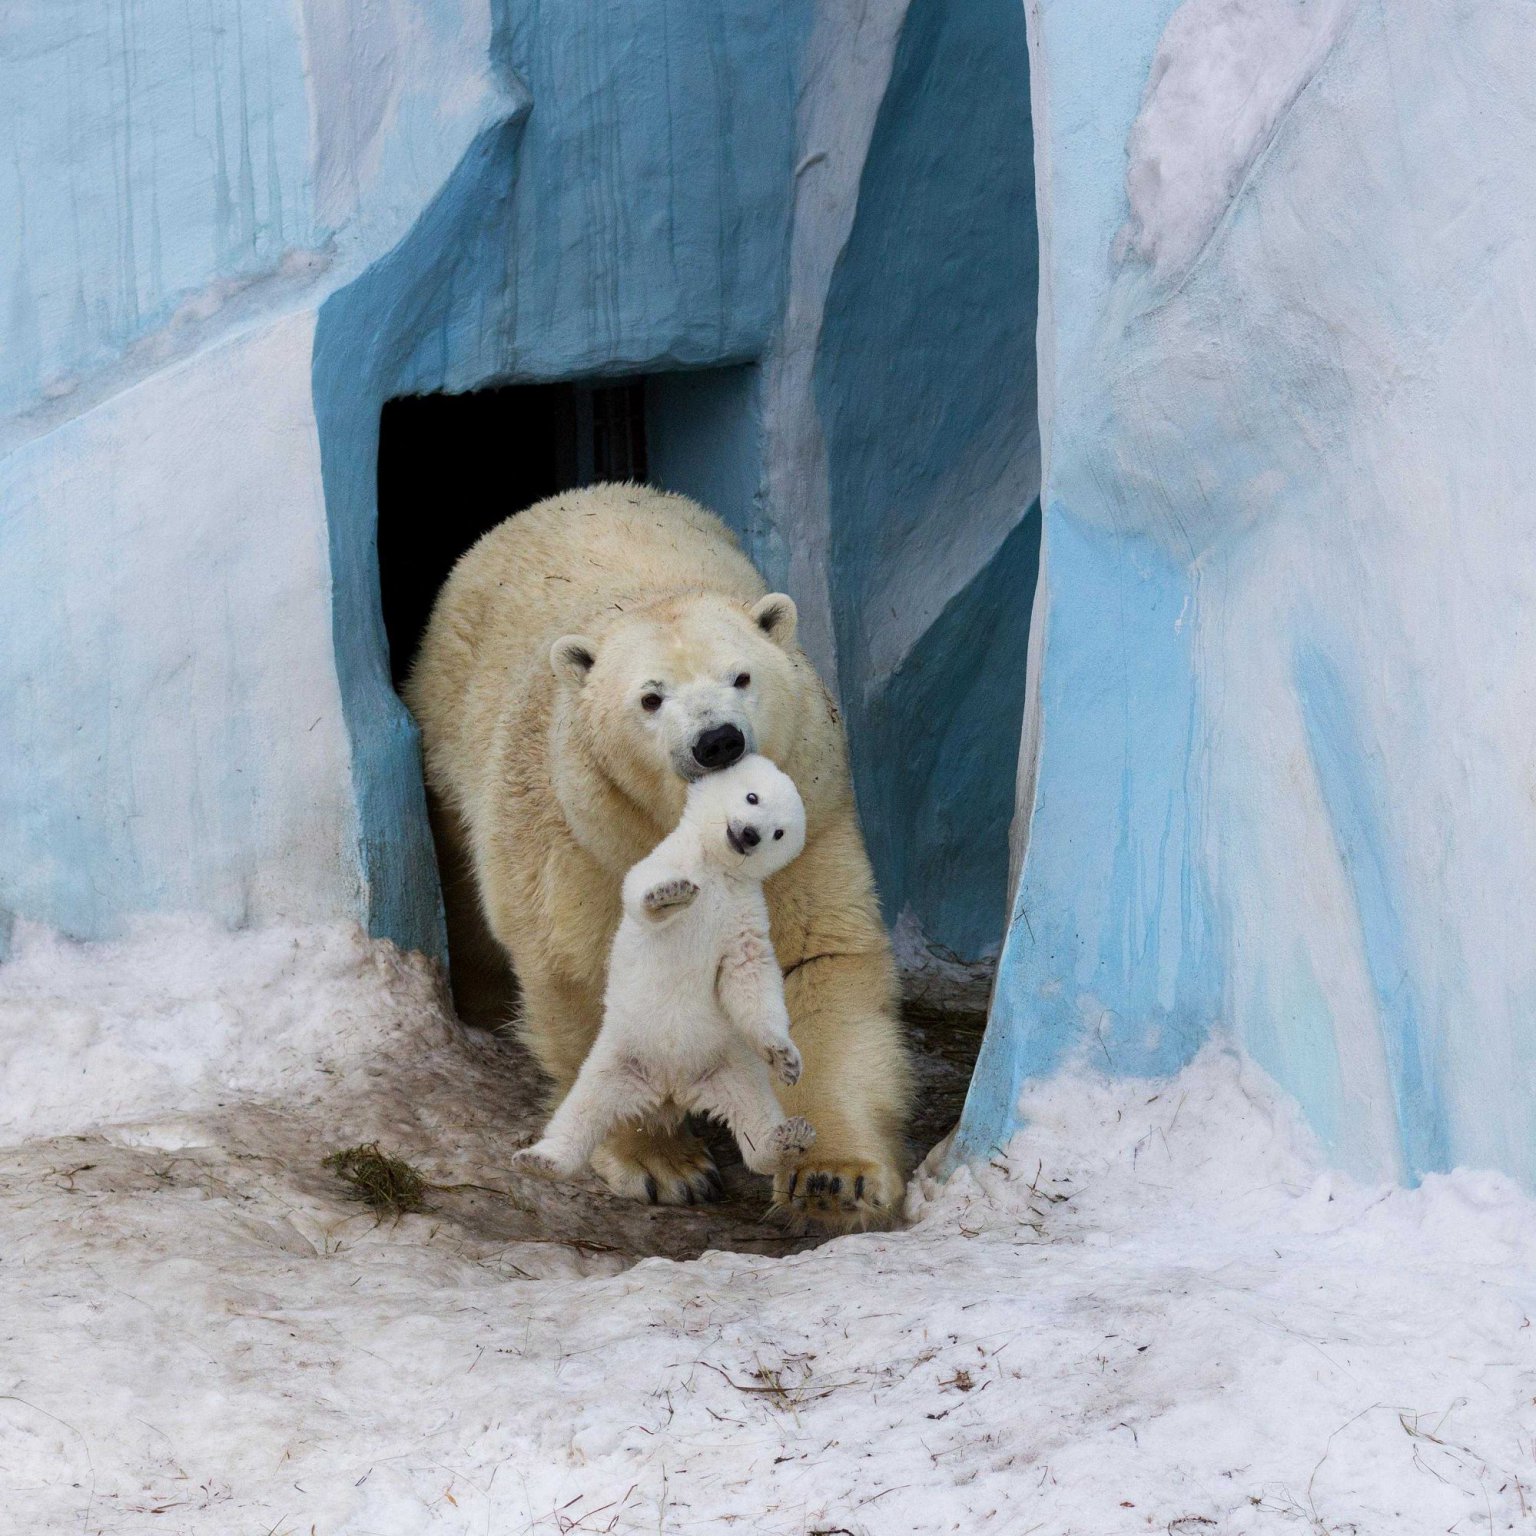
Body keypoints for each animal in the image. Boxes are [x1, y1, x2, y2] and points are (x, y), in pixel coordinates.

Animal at [509, 758, 823, 1185]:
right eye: (752, 796)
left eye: (779, 832)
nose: (749, 835)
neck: (716, 870)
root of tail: (672, 1088)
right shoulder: (665, 858)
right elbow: (640, 890)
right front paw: (668, 895)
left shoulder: (743, 913)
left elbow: (749, 974)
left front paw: (786, 1058)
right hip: (618, 1058)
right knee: (581, 1110)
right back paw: (541, 1160)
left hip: (728, 1066)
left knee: (753, 1113)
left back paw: (788, 1139)